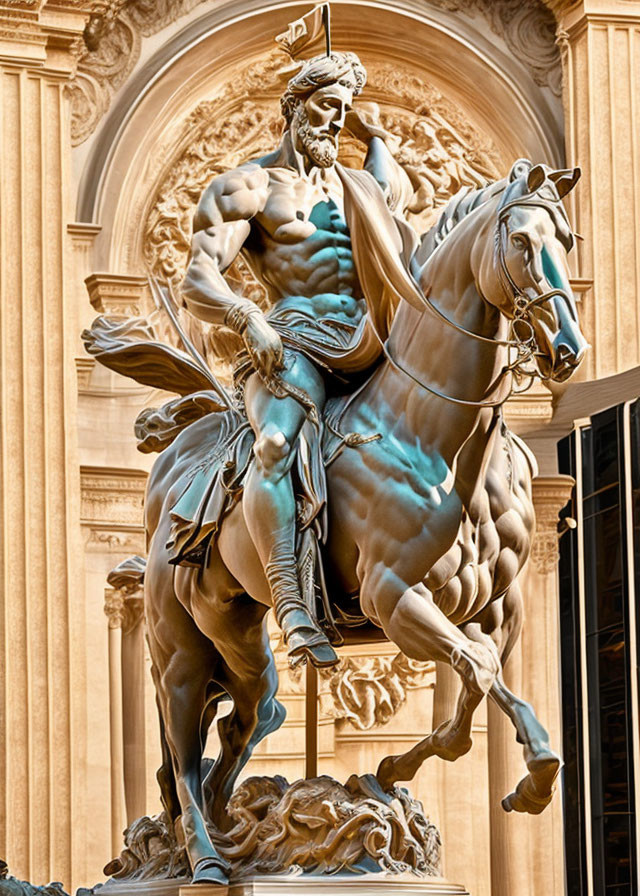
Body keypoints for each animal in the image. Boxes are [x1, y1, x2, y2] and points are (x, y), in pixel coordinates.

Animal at [139, 159, 584, 880]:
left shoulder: (494, 612)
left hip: (238, 645)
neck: (426, 429)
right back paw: (203, 857)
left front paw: (394, 772)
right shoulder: (390, 596)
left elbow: (468, 702)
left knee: (237, 728)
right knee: (182, 750)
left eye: (566, 241)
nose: (569, 348)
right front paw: (538, 769)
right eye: (520, 241)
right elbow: (479, 674)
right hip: (179, 649)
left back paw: (234, 836)